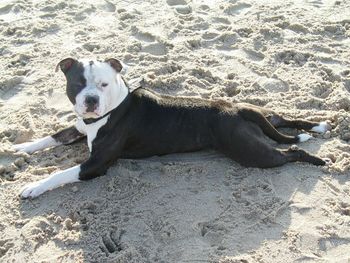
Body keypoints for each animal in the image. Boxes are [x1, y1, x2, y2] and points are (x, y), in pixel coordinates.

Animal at [13, 57, 330, 198]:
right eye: (78, 83)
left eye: (103, 84)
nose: (91, 100)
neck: (113, 107)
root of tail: (235, 109)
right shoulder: (79, 127)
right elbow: (52, 136)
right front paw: (21, 147)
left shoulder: (95, 165)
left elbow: (60, 173)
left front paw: (33, 187)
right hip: (261, 114)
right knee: (286, 121)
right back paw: (318, 125)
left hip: (253, 154)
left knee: (290, 151)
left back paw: (318, 159)